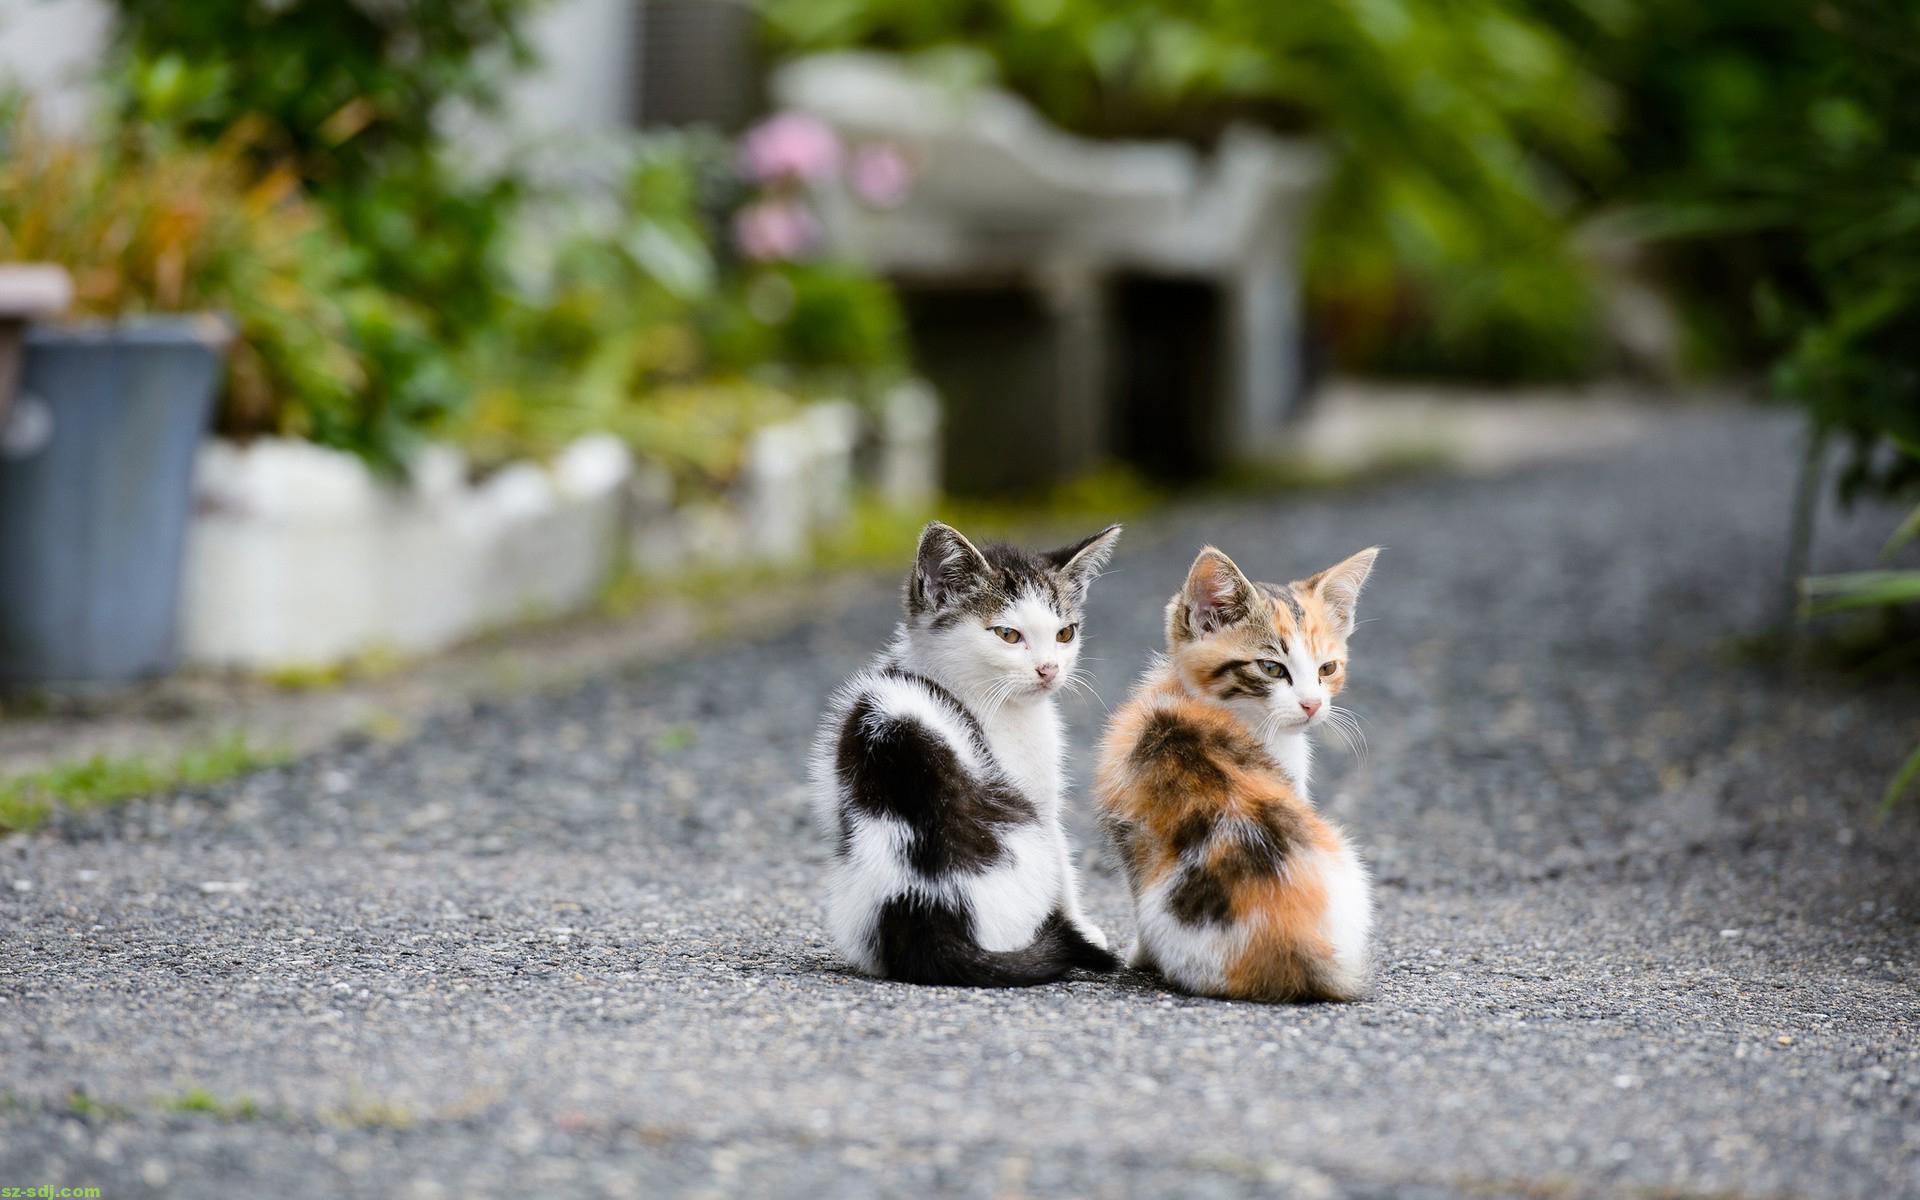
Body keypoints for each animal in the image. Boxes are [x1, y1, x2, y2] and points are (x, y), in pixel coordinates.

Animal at [810, 522, 1121, 983]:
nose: (1049, 669)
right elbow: (1064, 866)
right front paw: (1085, 927)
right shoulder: (1038, 800)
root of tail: (925, 904)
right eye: (1008, 634)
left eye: (1065, 633)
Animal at [1098, 545, 1382, 998]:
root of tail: (1294, 946)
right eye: (1271, 668)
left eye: (1327, 669)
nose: (1312, 705)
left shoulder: (1128, 829)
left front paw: (1139, 955)